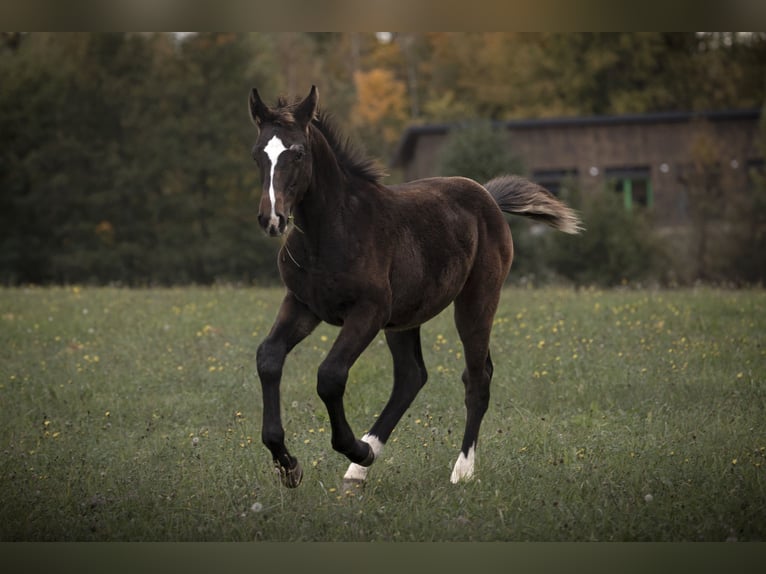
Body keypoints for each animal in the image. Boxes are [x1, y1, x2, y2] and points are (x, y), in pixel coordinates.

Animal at [249, 86, 580, 490]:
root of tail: (488, 196)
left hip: (477, 300)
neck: (331, 231)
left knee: (476, 377)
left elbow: (329, 376)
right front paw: (288, 464)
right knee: (411, 376)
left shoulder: (368, 312)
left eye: (297, 152)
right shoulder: (302, 304)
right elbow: (268, 357)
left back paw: (460, 470)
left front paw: (353, 448)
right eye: (258, 153)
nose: (273, 219)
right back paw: (359, 469)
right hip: (405, 317)